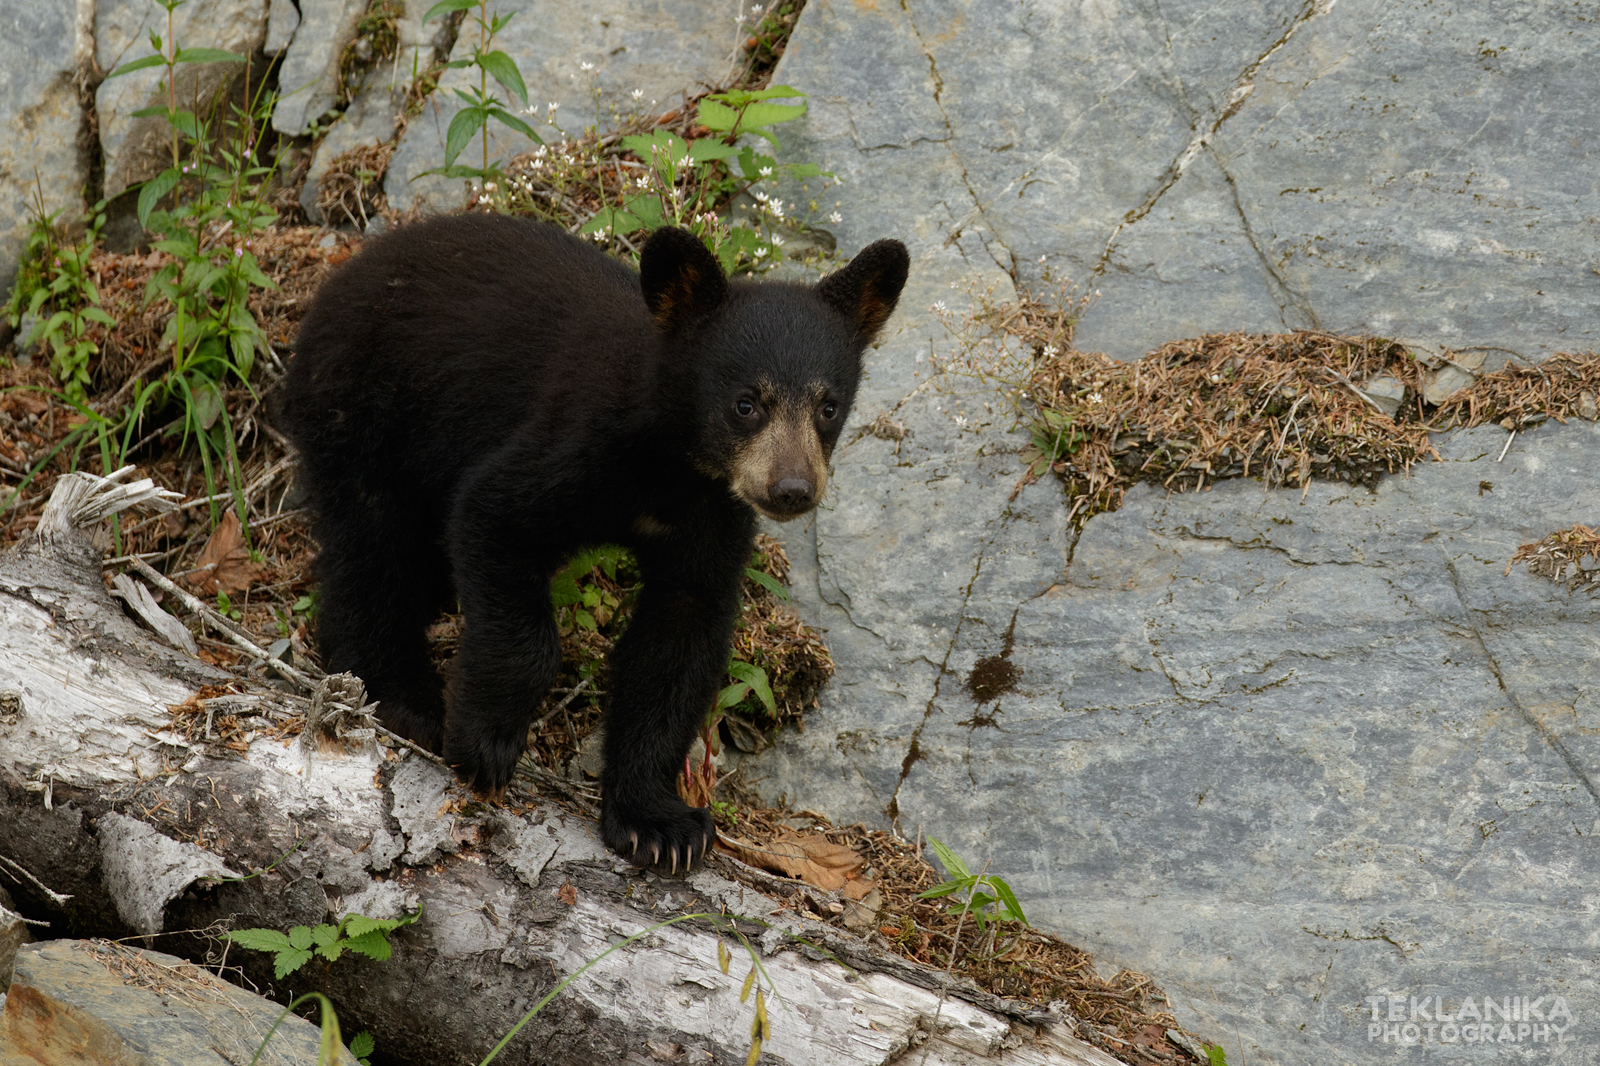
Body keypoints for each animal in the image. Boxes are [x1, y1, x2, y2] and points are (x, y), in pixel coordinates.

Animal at [278, 214, 908, 869]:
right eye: (746, 404)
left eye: (828, 406)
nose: (792, 489)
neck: (671, 468)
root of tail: (343, 274)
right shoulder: (576, 448)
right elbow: (493, 520)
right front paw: (484, 745)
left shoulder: (710, 517)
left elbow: (678, 645)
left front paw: (657, 822)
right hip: (368, 409)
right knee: (374, 550)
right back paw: (402, 695)